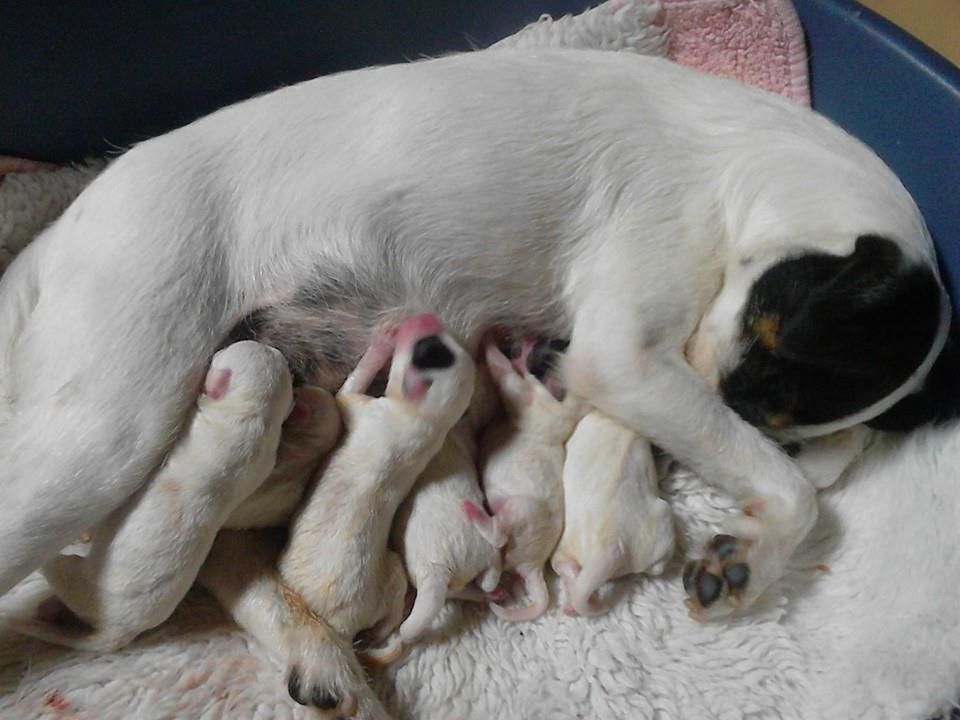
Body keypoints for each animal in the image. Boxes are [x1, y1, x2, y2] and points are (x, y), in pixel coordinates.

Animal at [8, 340, 292, 648]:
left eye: (220, 356)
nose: (217, 350)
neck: (254, 417)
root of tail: (117, 630)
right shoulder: (264, 459)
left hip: (75, 577)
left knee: (58, 569)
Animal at [390, 362, 506, 648]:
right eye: (483, 386)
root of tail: (436, 572)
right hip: (481, 548)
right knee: (490, 572)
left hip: (449, 580)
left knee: (468, 590)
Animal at [468, 340, 580, 620]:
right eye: (560, 342)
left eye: (553, 350)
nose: (537, 340)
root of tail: (534, 567)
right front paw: (519, 356)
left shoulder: (529, 397)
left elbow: (506, 375)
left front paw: (491, 346)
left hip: (522, 509)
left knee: (498, 534)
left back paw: (471, 511)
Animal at [548, 410, 676, 620]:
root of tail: (610, 547)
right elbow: (660, 472)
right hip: (662, 523)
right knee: (657, 567)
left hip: (566, 543)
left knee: (565, 567)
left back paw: (571, 604)